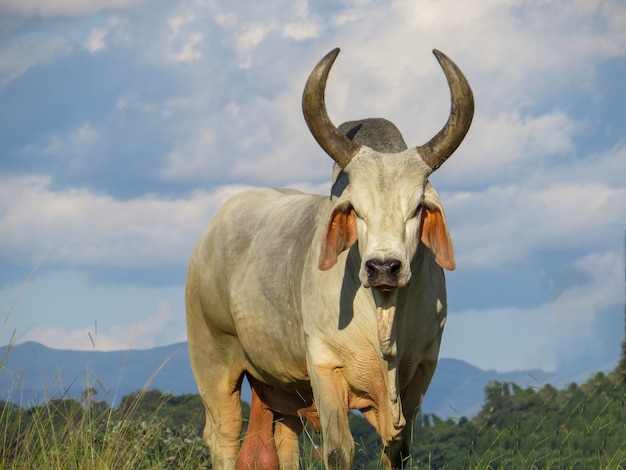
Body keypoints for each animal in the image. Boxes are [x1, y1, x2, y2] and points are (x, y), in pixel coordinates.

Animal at [185, 46, 472, 468]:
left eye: (418, 208)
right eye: (355, 209)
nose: (383, 267)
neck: (384, 317)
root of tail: (208, 235)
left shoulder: (422, 370)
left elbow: (397, 451)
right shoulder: (324, 366)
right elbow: (339, 450)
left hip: (280, 390)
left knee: (277, 444)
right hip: (213, 361)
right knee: (224, 437)